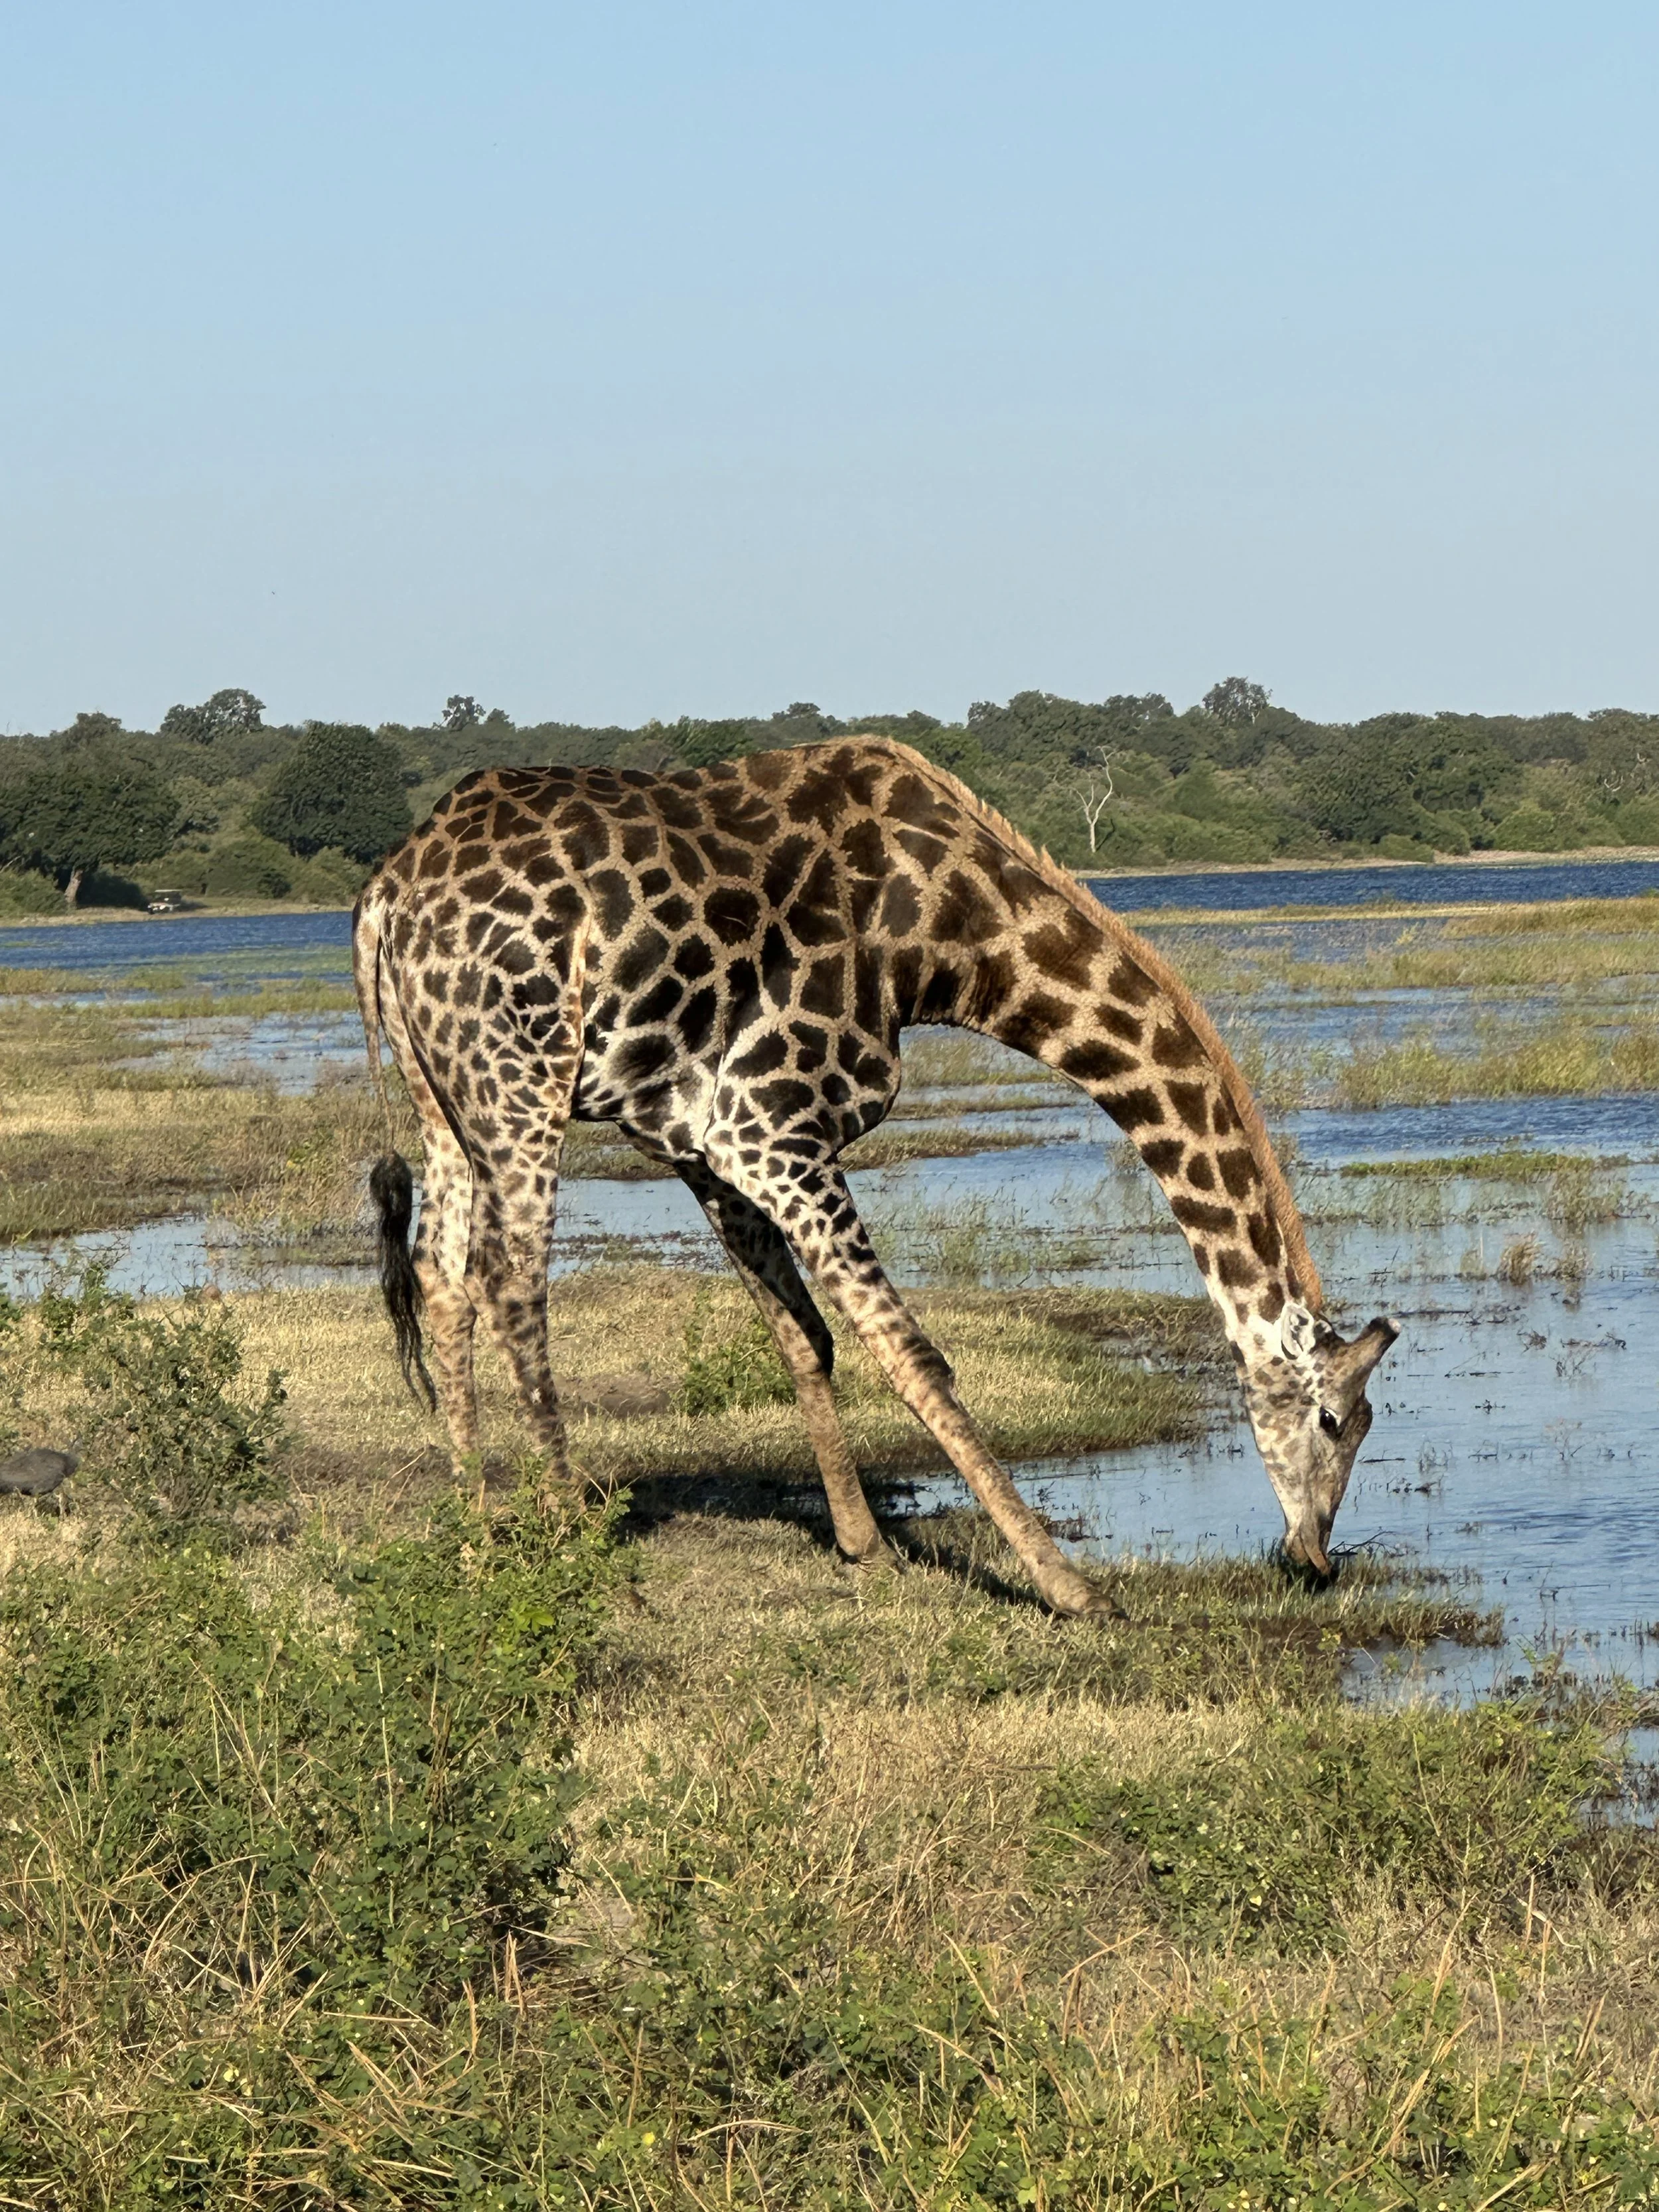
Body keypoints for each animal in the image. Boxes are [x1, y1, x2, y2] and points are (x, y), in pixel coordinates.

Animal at [353, 737, 1397, 1617]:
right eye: (1335, 1419)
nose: (1314, 1556)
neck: (947, 938)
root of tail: (384, 903)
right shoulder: (771, 1125)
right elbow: (910, 1351)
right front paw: (1068, 1585)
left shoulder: (705, 1143)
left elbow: (803, 1334)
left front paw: (863, 1544)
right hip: (520, 1080)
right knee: (510, 1282)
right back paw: (575, 1538)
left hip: (442, 1097)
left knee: (442, 1277)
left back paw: (475, 1535)